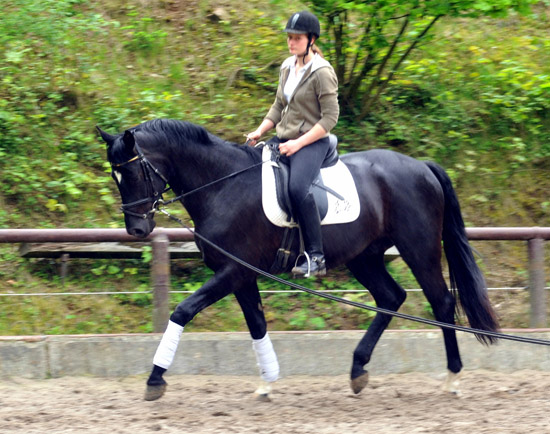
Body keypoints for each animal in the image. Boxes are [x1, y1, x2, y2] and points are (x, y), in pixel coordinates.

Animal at [99, 118, 500, 400]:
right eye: (115, 176)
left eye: (131, 172)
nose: (137, 229)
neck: (222, 185)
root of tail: (421, 166)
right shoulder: (241, 275)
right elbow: (257, 324)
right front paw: (267, 383)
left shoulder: (233, 270)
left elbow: (183, 310)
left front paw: (155, 379)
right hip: (364, 256)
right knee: (391, 297)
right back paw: (358, 371)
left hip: (418, 248)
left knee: (441, 302)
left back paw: (452, 378)